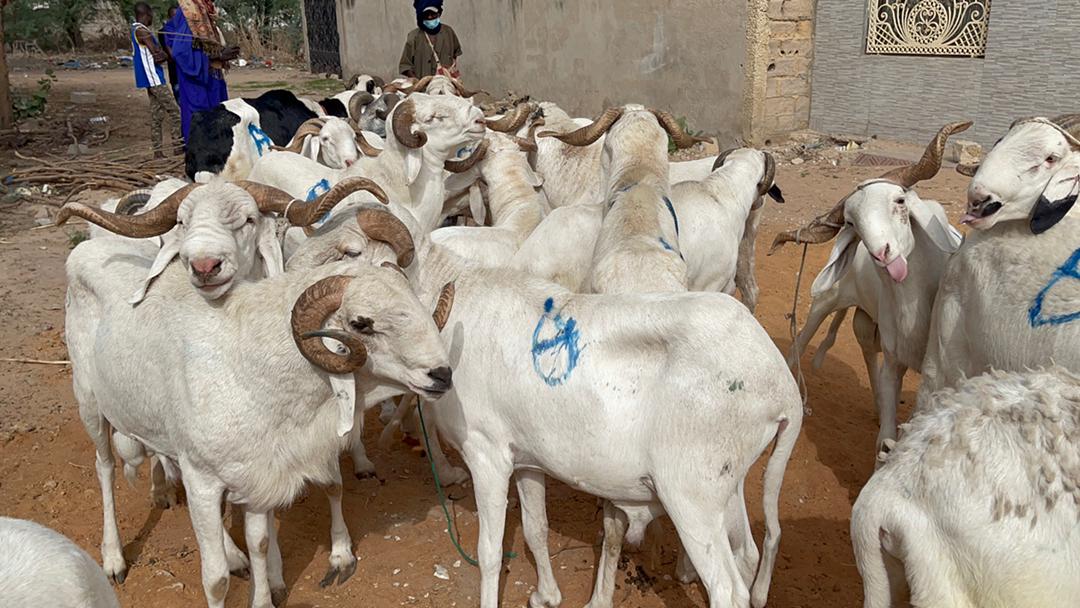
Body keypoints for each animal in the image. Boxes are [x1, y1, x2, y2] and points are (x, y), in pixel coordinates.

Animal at [65, 229, 455, 607]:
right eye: (361, 323)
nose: (442, 375)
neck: (250, 367)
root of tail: (87, 248)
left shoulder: (255, 477)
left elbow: (260, 544)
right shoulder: (203, 481)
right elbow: (216, 580)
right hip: (90, 404)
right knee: (104, 468)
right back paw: (114, 559)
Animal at [772, 122, 969, 456]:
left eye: (900, 201)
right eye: (851, 221)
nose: (882, 253)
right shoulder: (894, 360)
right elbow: (886, 437)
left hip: (866, 321)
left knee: (865, 350)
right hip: (828, 301)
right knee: (803, 339)